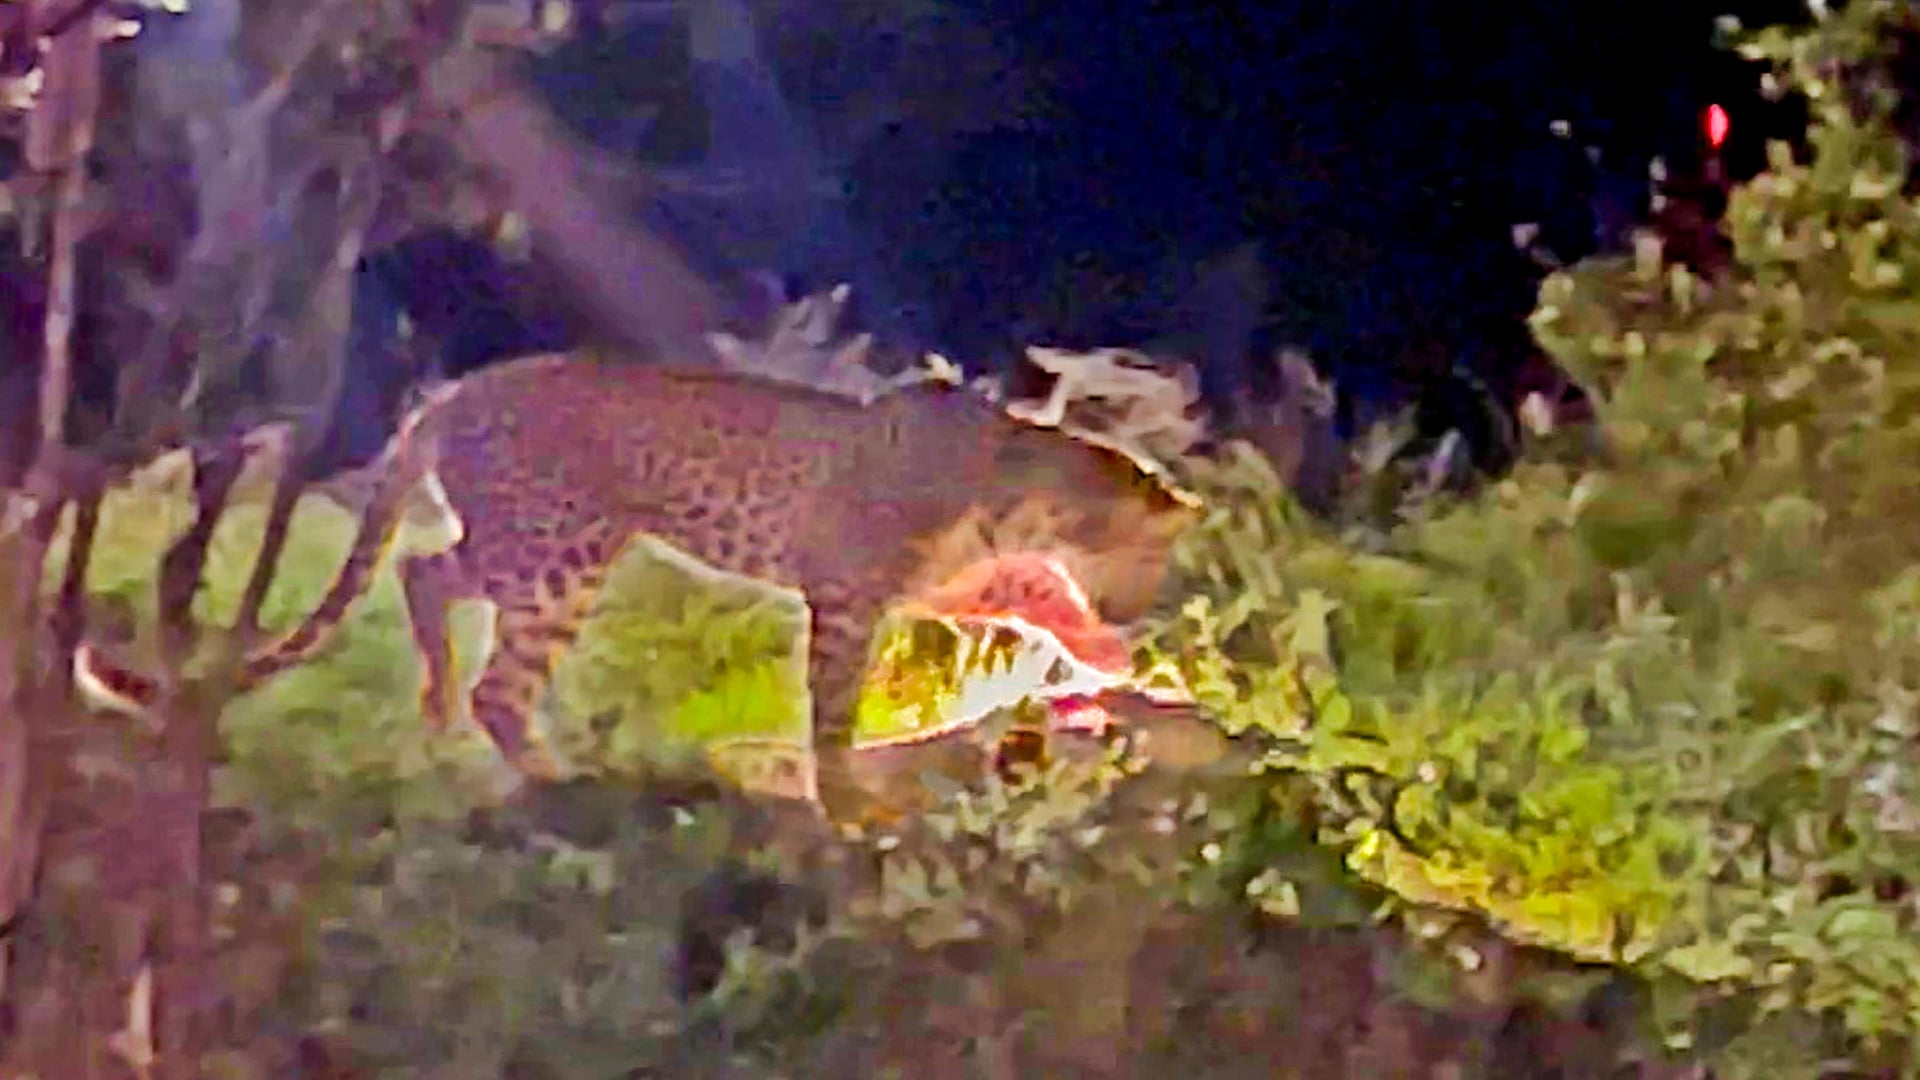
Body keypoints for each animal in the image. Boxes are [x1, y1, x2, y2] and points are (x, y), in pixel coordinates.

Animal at [76, 352, 1199, 806]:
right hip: (561, 555)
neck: (1019, 484)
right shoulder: (847, 594)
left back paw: (440, 710)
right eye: (1150, 558)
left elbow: (1036, 597)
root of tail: (458, 390)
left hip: (536, 547)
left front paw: (1105, 651)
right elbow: (833, 701)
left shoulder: (957, 581)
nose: (1142, 608)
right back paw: (544, 766)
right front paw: (838, 787)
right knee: (476, 644)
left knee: (429, 573)